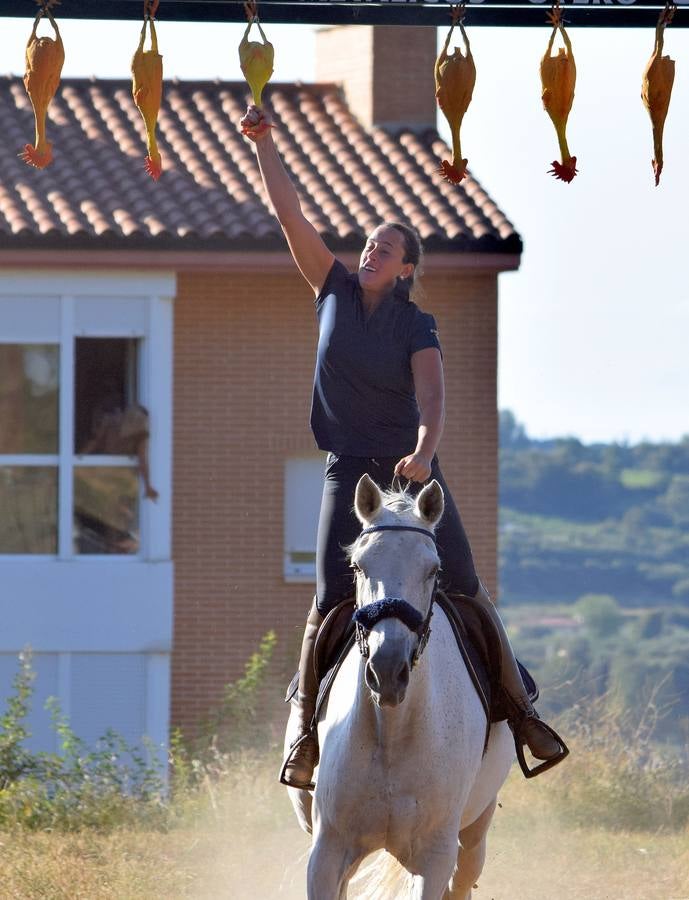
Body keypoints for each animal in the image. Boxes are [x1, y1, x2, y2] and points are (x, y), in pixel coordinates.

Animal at [282, 474, 512, 896]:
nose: (387, 670)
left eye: (433, 569)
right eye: (358, 566)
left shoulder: (434, 858)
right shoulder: (327, 853)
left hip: (474, 832)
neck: (392, 733)